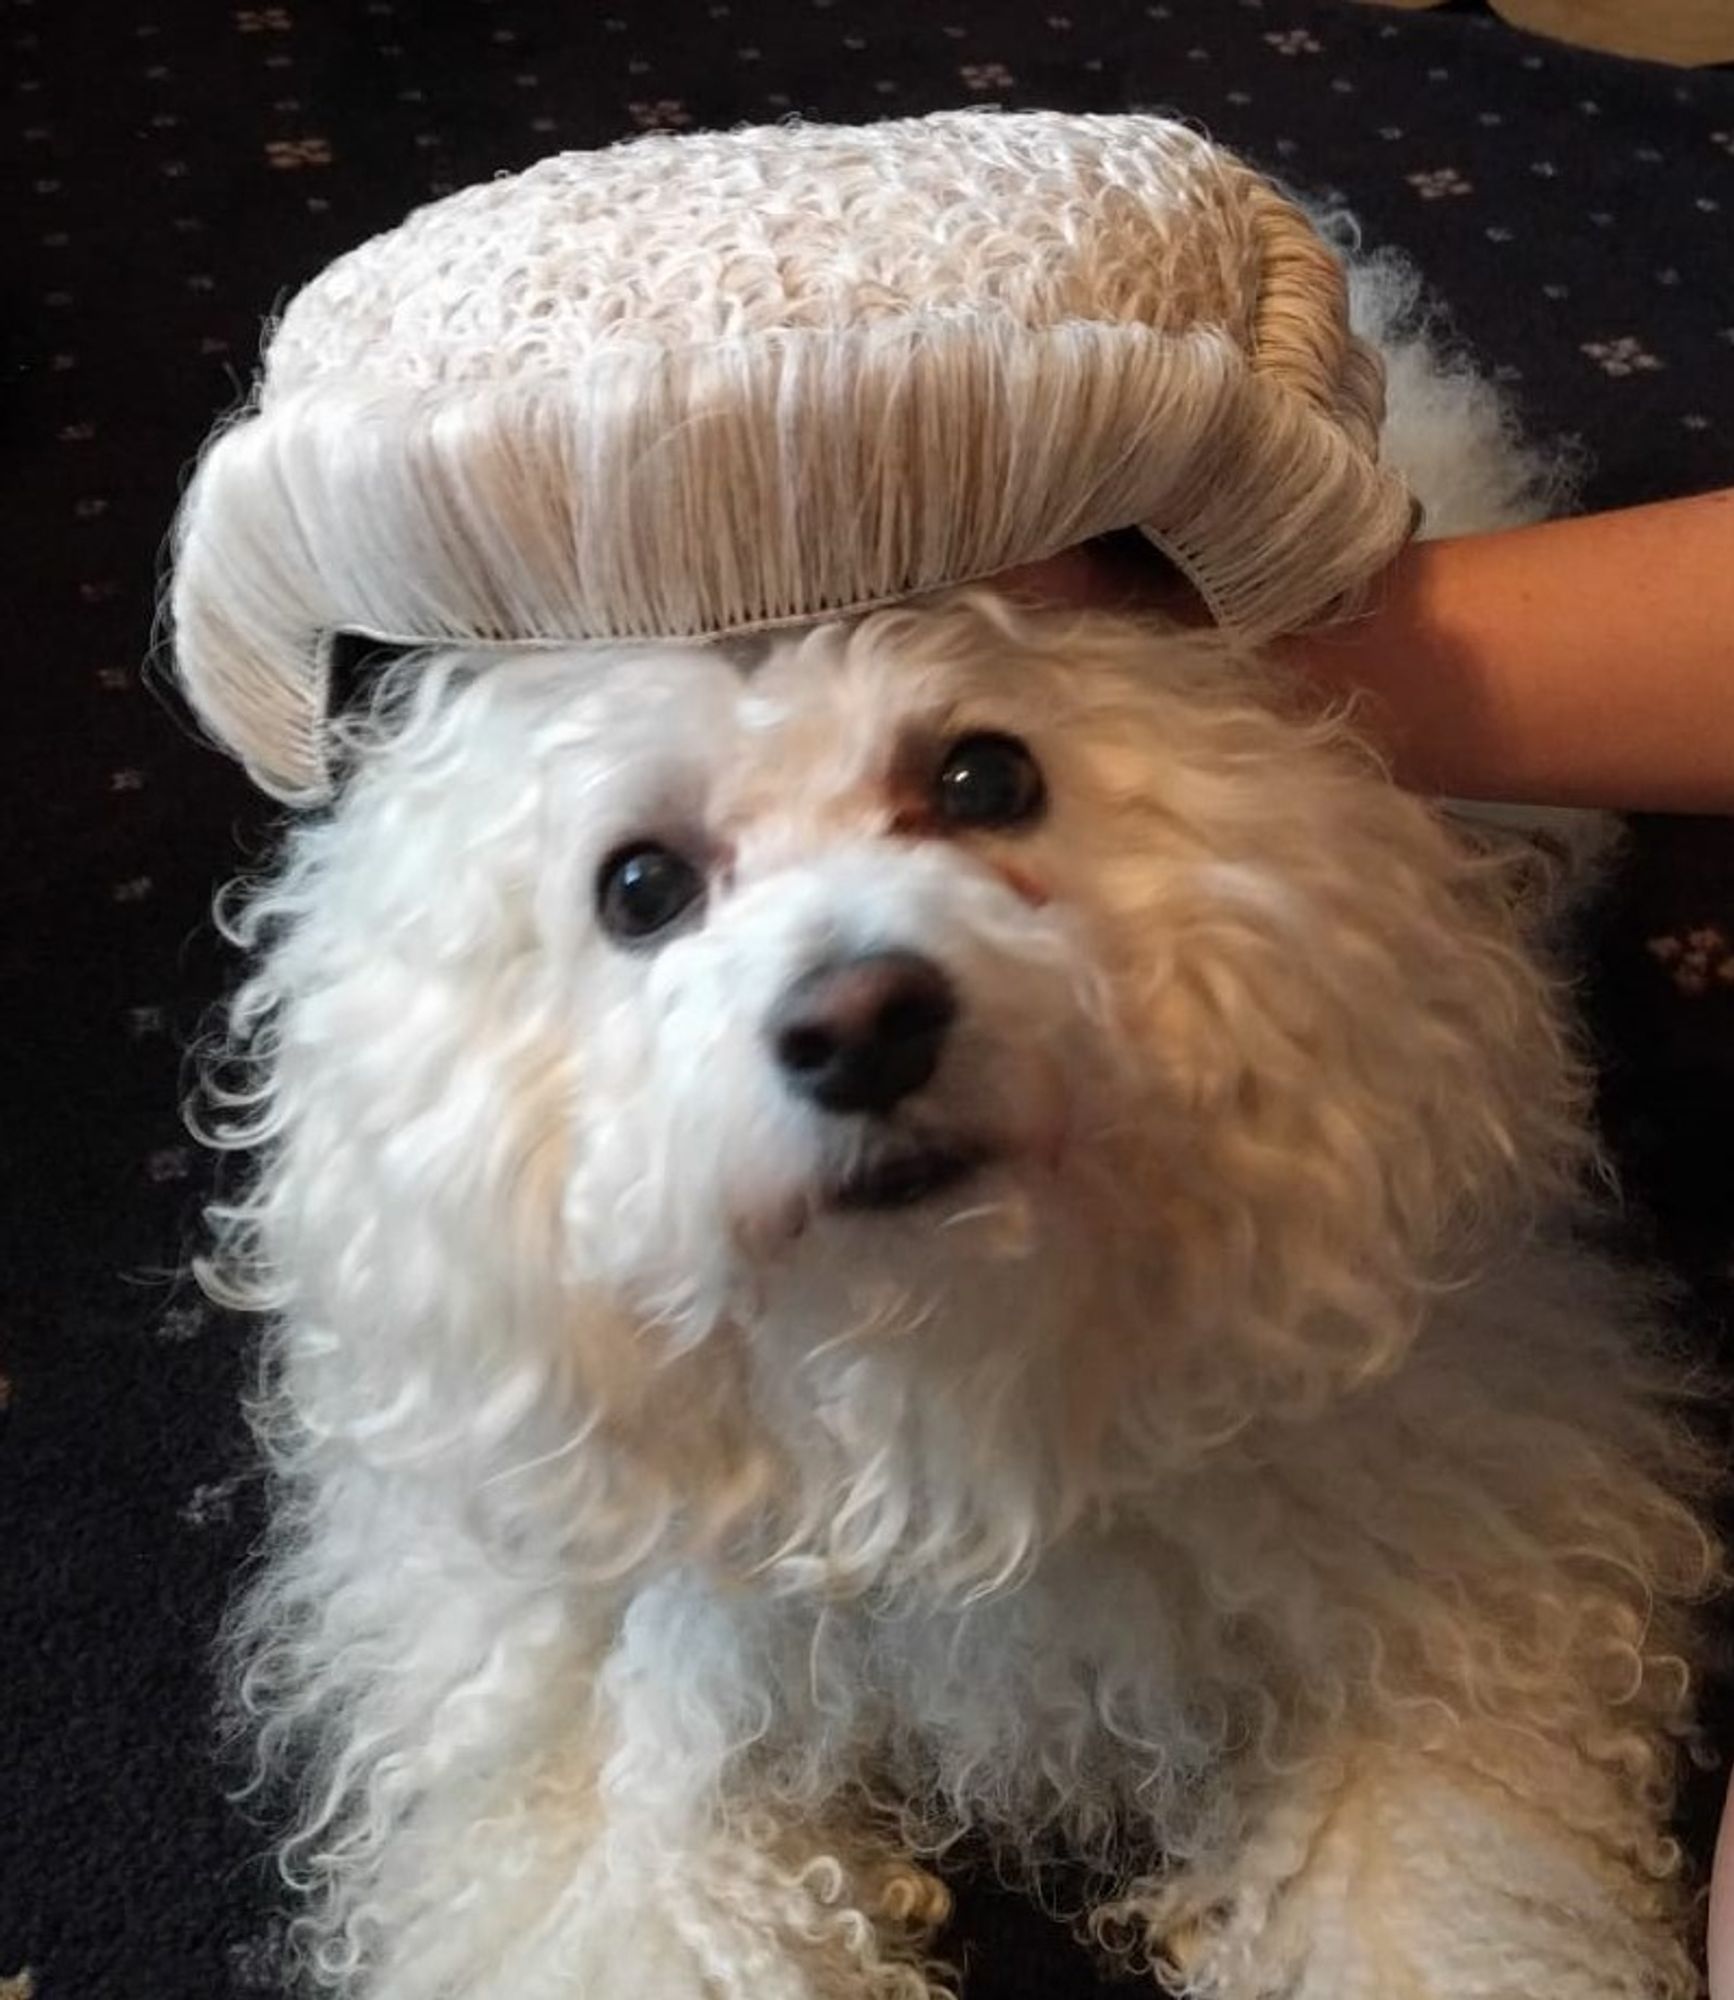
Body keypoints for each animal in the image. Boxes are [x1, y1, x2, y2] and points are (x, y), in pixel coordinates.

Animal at [207, 270, 1720, 2000]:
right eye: (640, 886)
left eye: (984, 776)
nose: (862, 1022)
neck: (938, 1361)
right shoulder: (584, 1727)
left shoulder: (1442, 1602)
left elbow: (1431, 1902)